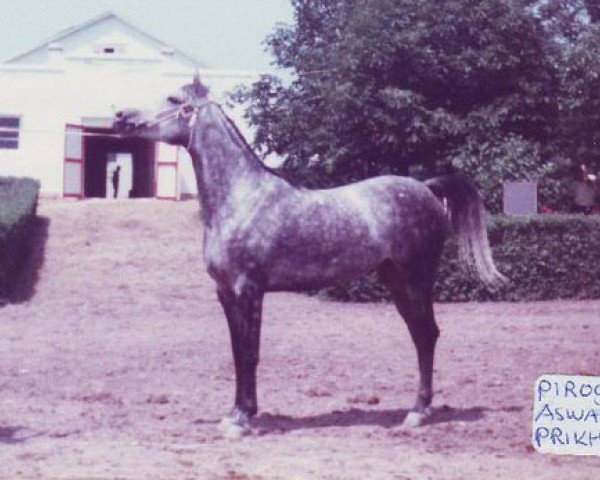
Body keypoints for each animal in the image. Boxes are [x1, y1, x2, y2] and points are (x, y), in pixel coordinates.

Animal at [115, 76, 504, 438]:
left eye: (173, 99)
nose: (121, 117)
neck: (242, 198)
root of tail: (426, 187)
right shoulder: (225, 293)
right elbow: (238, 352)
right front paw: (234, 414)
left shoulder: (249, 290)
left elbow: (250, 353)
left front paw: (243, 419)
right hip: (395, 281)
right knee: (421, 335)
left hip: (417, 278)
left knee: (427, 335)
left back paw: (417, 413)